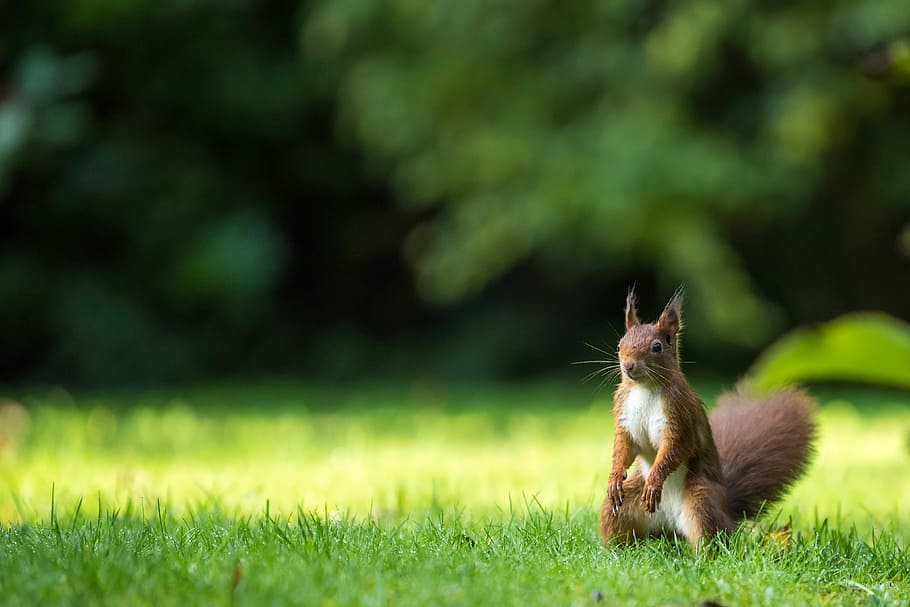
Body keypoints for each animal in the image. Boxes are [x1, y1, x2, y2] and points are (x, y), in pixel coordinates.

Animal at [600, 288, 816, 549]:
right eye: (620, 344)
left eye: (657, 347)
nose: (628, 366)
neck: (645, 389)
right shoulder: (624, 412)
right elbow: (624, 447)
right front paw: (614, 477)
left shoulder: (680, 414)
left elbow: (676, 447)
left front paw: (654, 481)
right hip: (623, 507)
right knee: (616, 519)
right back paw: (616, 550)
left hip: (701, 501)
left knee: (712, 535)